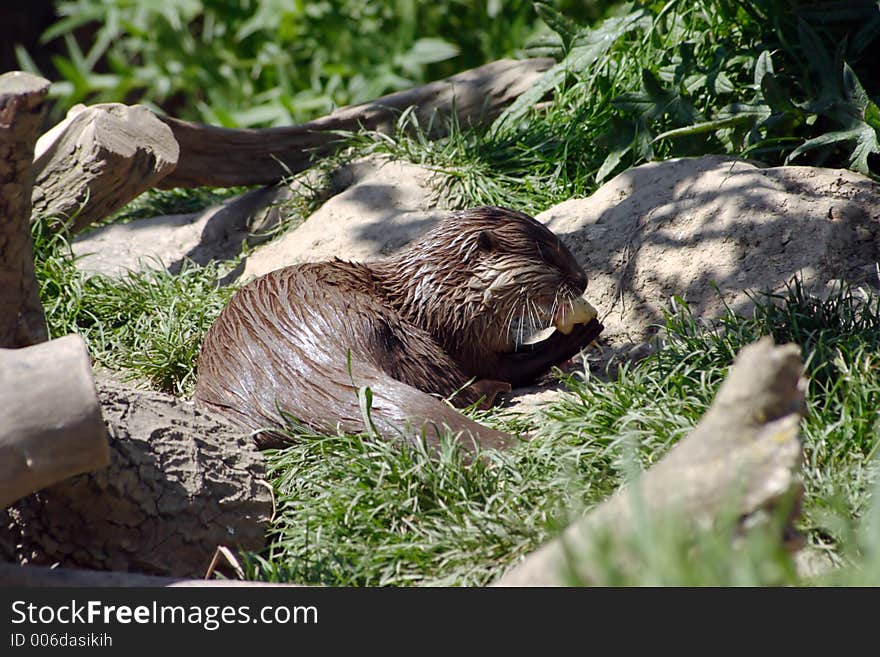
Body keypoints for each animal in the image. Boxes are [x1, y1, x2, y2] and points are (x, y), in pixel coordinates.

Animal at [195, 208, 600, 448]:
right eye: (549, 254)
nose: (583, 280)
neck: (440, 291)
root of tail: (295, 369)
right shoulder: (458, 331)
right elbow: (506, 363)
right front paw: (581, 330)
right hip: (394, 331)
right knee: (456, 387)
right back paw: (497, 389)